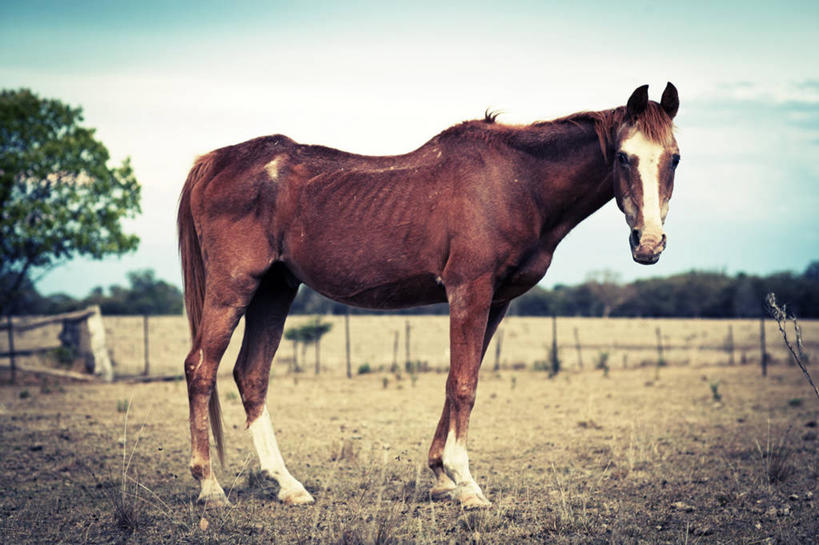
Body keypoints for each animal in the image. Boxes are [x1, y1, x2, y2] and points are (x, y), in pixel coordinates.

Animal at [178, 83, 680, 508]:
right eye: (623, 157)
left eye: (674, 158)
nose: (649, 243)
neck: (517, 182)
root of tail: (214, 161)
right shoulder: (469, 291)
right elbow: (463, 386)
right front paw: (467, 483)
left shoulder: (496, 302)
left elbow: (458, 380)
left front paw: (441, 476)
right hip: (233, 287)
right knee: (201, 369)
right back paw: (209, 486)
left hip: (275, 289)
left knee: (251, 375)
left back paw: (287, 485)